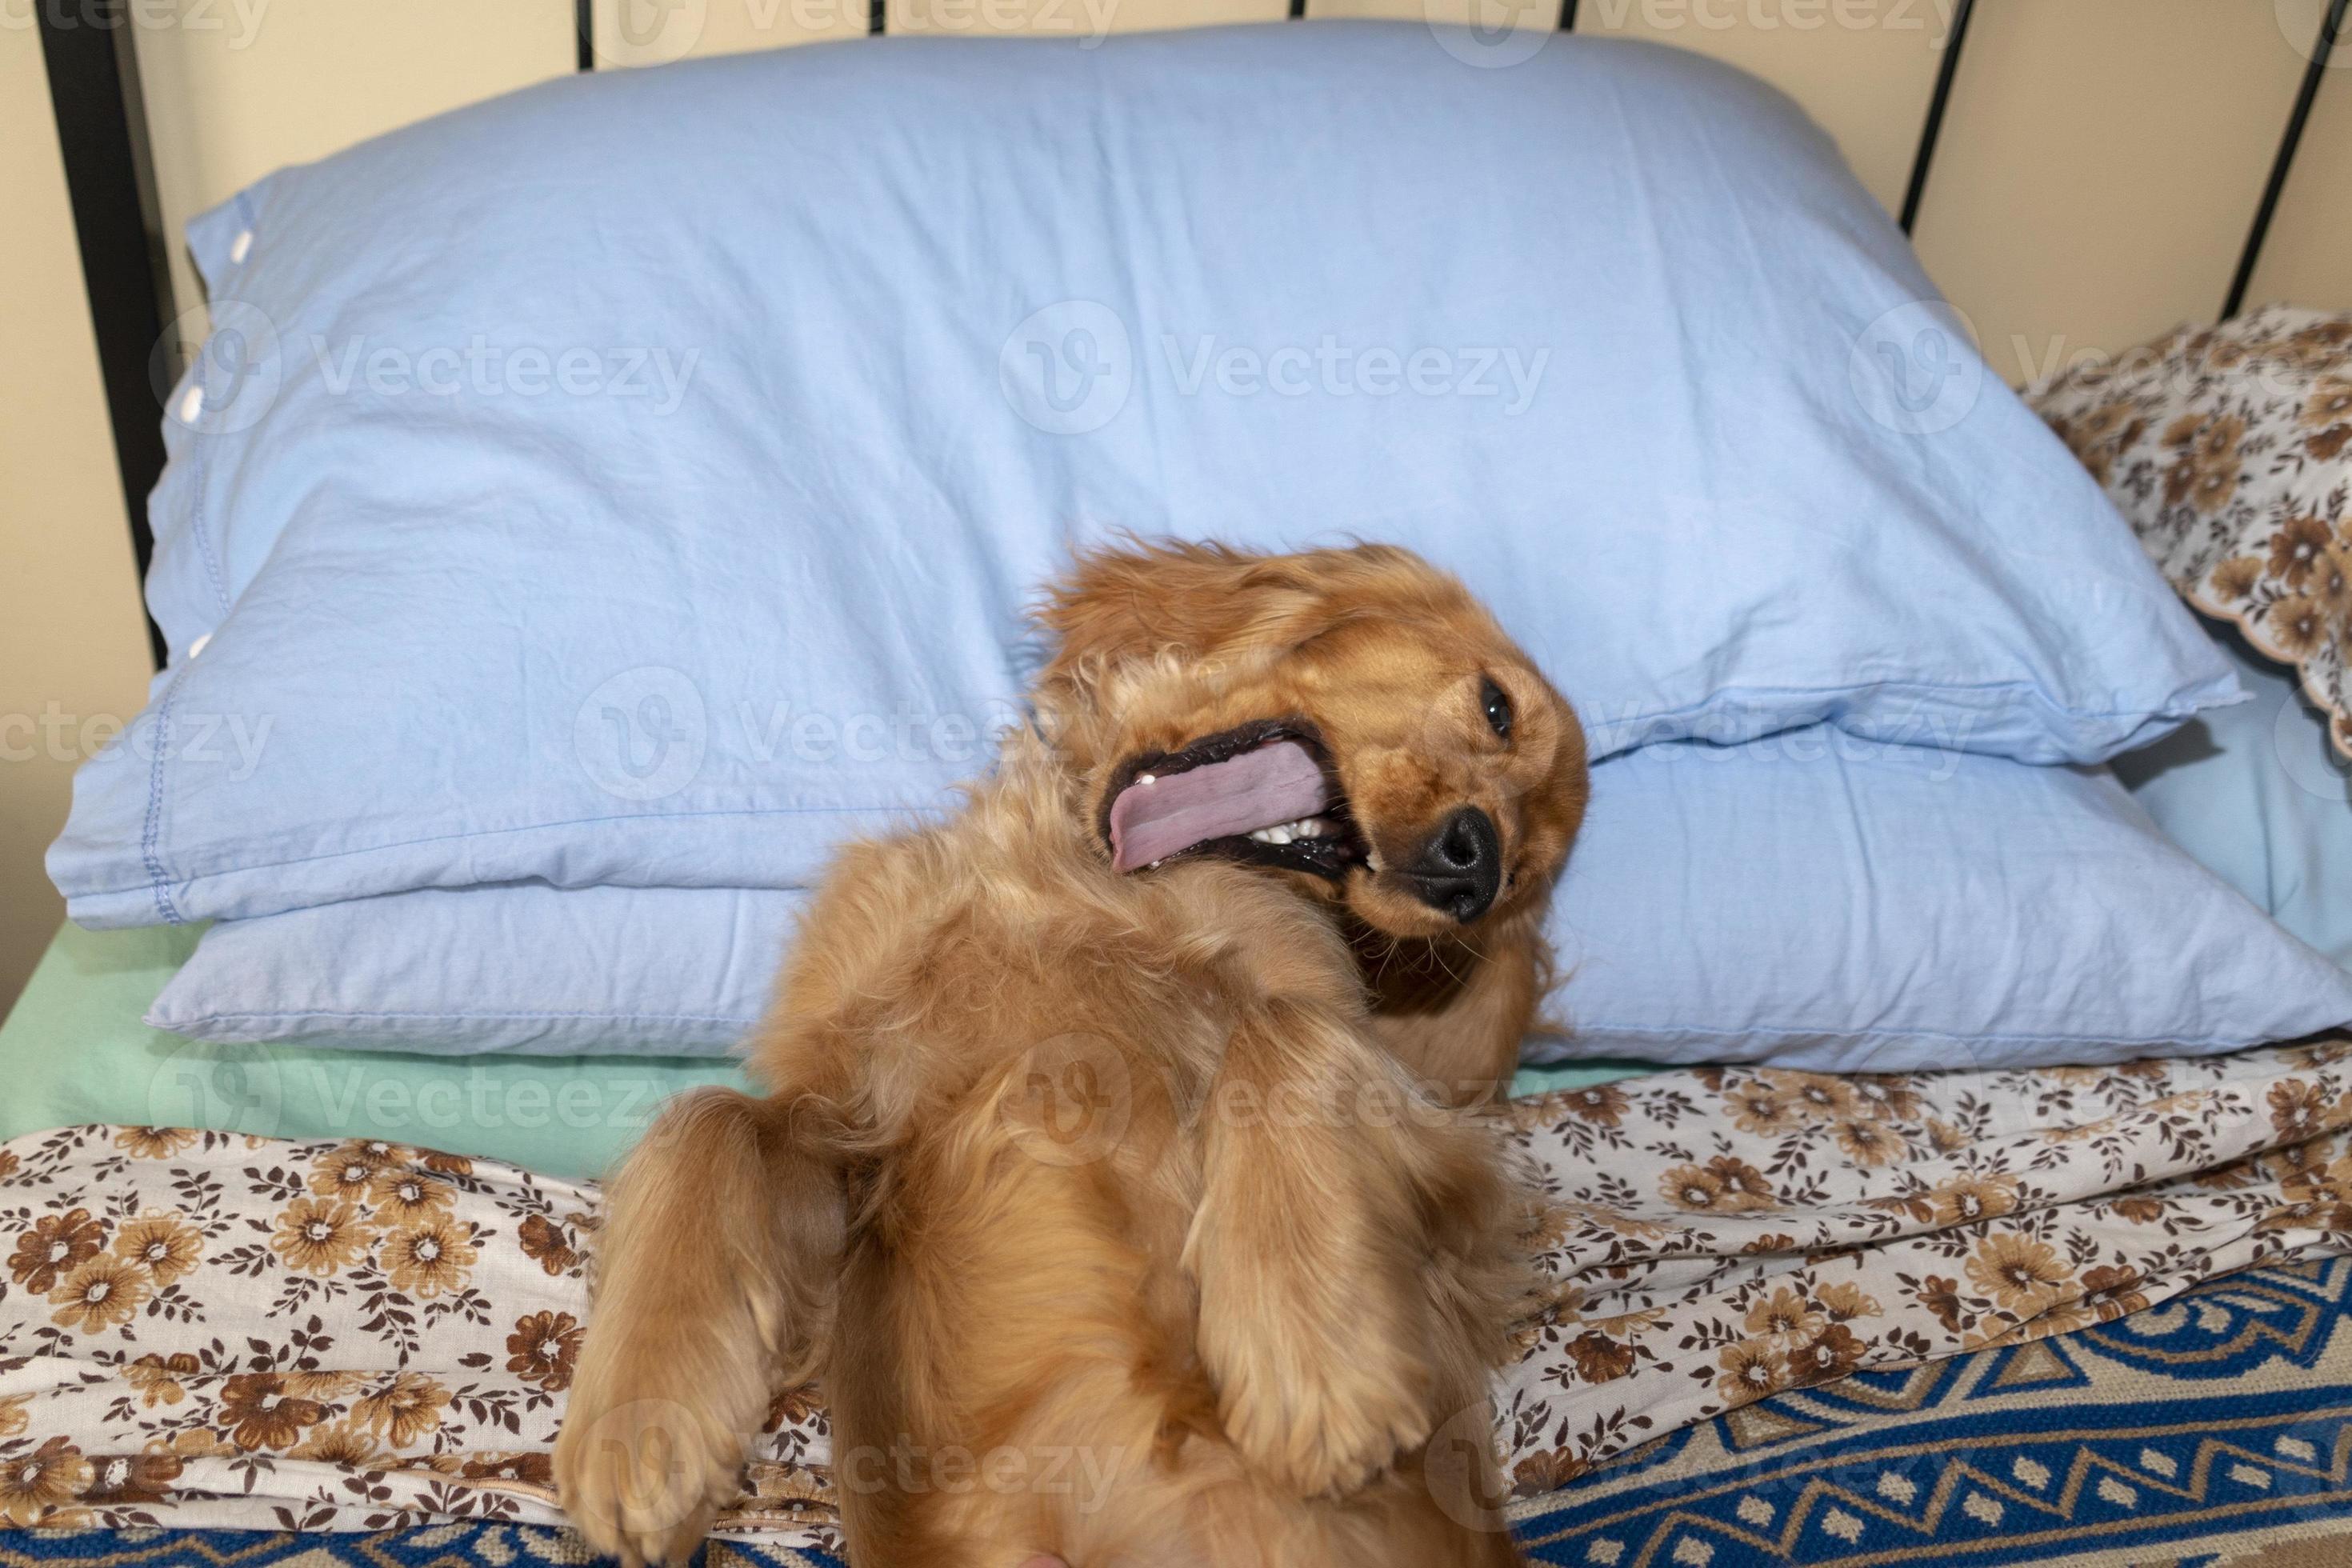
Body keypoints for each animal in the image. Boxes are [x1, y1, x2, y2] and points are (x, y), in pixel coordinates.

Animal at [554, 542, 1580, 1568]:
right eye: (1497, 707)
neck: (1084, 878)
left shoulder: (1458, 1180)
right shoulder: (854, 1133)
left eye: (1526, 877)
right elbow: (708, 1116)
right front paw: (638, 1423)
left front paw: (1315, 1359)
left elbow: (1284, 1027)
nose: (1476, 867)